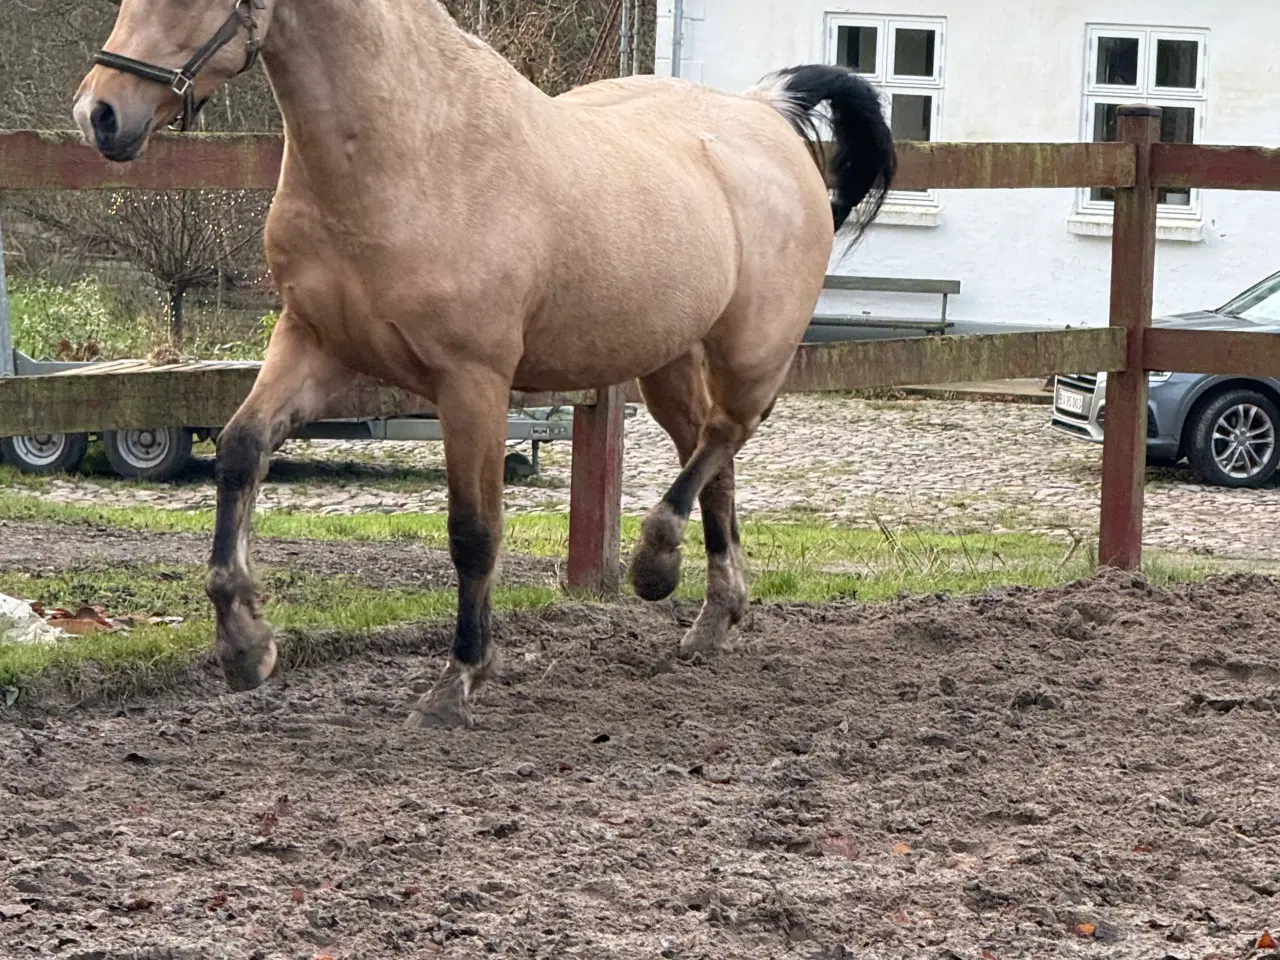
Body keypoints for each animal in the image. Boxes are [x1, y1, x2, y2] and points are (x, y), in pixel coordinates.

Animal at [74, 0, 896, 727]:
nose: (98, 114)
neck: (408, 153)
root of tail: (764, 111)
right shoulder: (311, 345)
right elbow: (241, 452)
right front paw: (245, 644)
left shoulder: (471, 382)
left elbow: (473, 531)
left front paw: (458, 679)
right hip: (664, 360)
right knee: (709, 450)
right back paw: (713, 617)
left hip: (752, 350)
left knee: (729, 431)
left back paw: (655, 562)